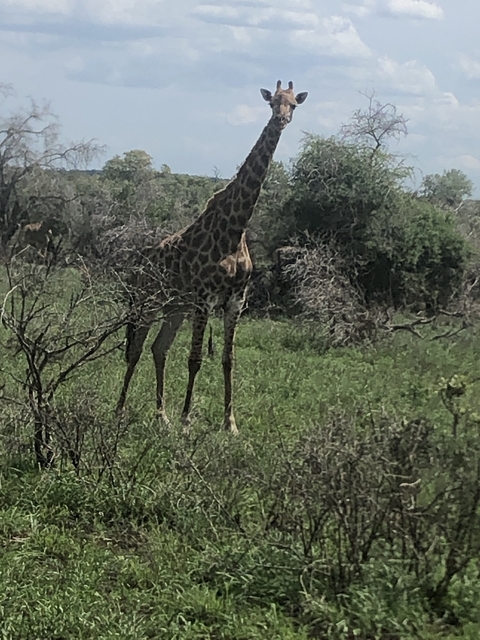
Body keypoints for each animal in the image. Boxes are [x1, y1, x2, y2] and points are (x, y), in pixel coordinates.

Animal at [117, 80, 308, 433]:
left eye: (293, 104)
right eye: (272, 101)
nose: (281, 119)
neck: (235, 227)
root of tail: (140, 265)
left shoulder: (235, 299)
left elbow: (228, 359)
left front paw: (229, 422)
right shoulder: (205, 297)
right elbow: (194, 359)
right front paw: (186, 421)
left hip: (175, 307)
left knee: (158, 348)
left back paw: (161, 416)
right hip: (149, 301)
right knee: (135, 349)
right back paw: (121, 410)